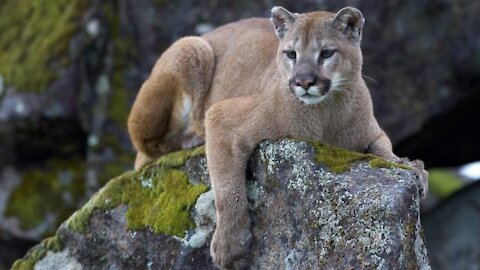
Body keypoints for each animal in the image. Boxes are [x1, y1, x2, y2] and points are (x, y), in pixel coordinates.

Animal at [126, 5, 428, 268]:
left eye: (326, 53)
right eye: (291, 54)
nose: (303, 82)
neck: (325, 115)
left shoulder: (374, 132)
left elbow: (384, 151)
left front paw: (412, 168)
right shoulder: (221, 117)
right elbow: (227, 189)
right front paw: (230, 247)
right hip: (191, 48)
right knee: (145, 151)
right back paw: (192, 138)